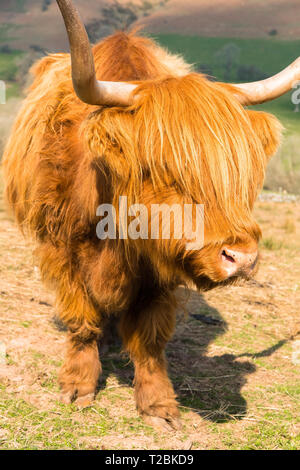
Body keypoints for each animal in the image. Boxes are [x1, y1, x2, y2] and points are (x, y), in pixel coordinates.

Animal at [2, 0, 300, 430]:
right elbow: (81, 319)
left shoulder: (160, 271)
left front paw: (158, 405)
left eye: (239, 172)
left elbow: (149, 338)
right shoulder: (60, 250)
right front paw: (77, 386)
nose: (241, 259)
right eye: (163, 170)